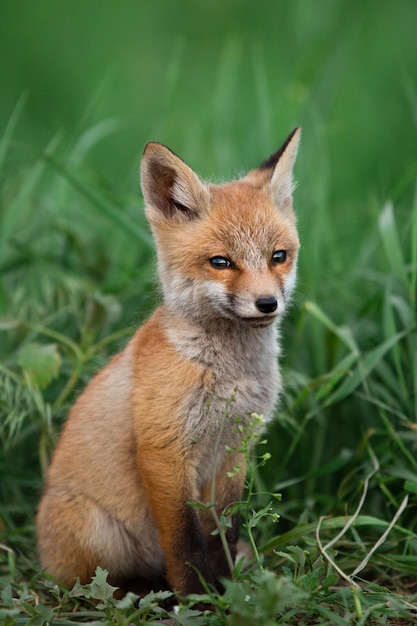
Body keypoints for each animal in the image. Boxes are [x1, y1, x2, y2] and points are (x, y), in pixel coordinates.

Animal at [35, 127, 300, 600]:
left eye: (278, 256)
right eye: (221, 262)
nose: (267, 303)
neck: (229, 376)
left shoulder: (234, 449)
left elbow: (223, 532)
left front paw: (228, 589)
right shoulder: (164, 452)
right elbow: (185, 541)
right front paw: (198, 600)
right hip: (99, 535)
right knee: (90, 585)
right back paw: (138, 593)